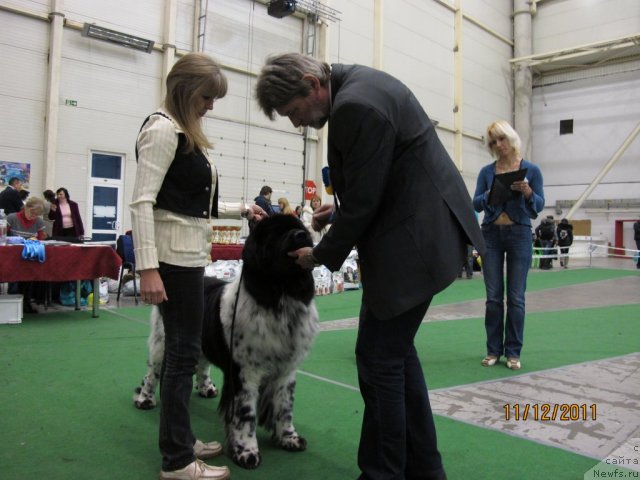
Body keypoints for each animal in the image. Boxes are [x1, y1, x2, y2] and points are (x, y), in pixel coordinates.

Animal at [133, 215, 320, 468]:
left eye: (298, 228)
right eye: (277, 233)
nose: (302, 235)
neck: (279, 296)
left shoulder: (287, 370)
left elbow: (284, 406)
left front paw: (289, 438)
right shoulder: (244, 373)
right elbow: (245, 413)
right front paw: (247, 452)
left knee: (202, 364)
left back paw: (206, 388)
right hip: (161, 342)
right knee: (152, 372)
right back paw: (145, 399)